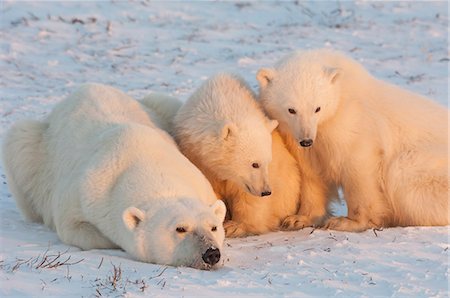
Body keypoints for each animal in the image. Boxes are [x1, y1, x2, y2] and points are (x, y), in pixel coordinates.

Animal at [2, 84, 229, 270]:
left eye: (214, 227)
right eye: (180, 228)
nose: (211, 253)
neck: (144, 161)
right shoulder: (85, 190)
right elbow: (73, 226)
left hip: (163, 110)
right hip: (36, 148)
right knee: (20, 141)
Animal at [256, 49, 450, 232]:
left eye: (317, 108)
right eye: (291, 110)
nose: (306, 140)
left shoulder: (353, 122)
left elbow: (357, 169)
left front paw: (347, 222)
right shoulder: (301, 138)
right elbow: (311, 173)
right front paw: (298, 219)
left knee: (400, 171)